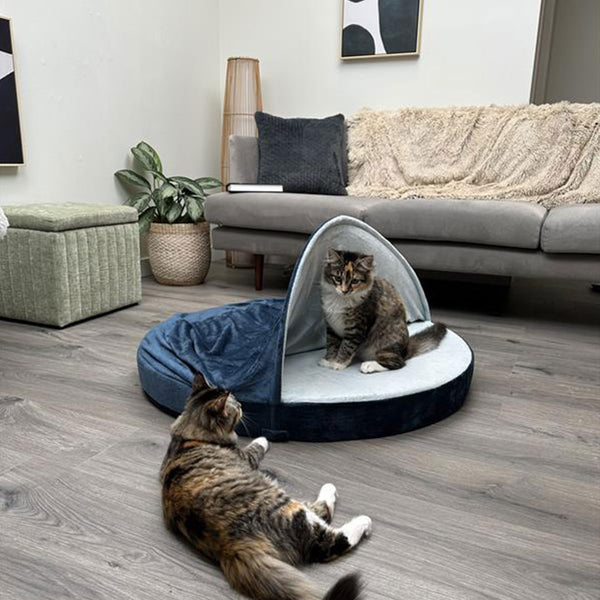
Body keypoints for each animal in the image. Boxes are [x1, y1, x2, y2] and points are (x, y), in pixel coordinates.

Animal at [159, 372, 370, 596]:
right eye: (237, 406)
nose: (242, 403)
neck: (189, 435)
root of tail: (232, 546)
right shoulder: (246, 457)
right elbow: (256, 446)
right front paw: (264, 437)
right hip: (290, 507)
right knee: (328, 533)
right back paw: (355, 513)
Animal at [318, 247, 446, 372]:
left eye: (355, 281)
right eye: (338, 278)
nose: (344, 291)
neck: (340, 300)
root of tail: (406, 349)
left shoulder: (357, 328)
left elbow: (346, 347)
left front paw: (338, 363)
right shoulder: (331, 326)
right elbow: (332, 344)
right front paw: (329, 360)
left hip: (385, 344)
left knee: (398, 363)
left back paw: (369, 365)